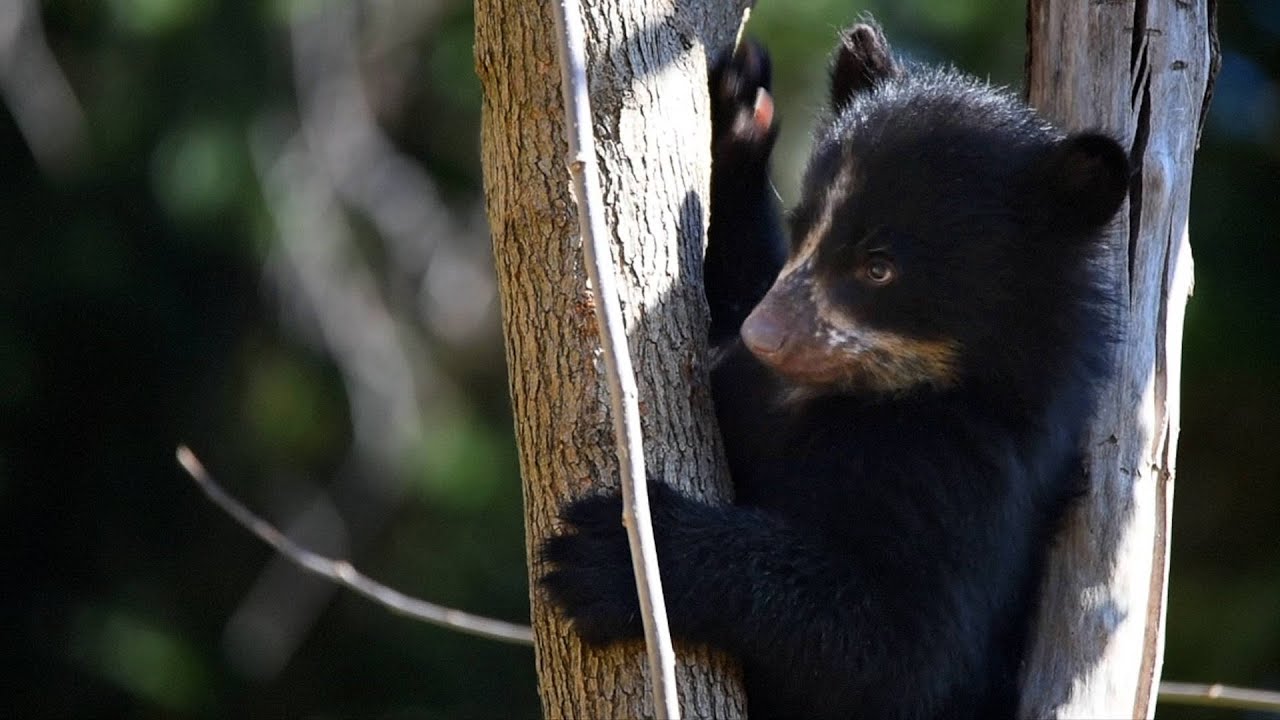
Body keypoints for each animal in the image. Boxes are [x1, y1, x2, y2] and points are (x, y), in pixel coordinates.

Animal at [541, 21, 1128, 720]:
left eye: (878, 267)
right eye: (803, 228)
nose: (762, 338)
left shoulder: (967, 472)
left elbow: (907, 652)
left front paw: (614, 551)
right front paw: (739, 106)